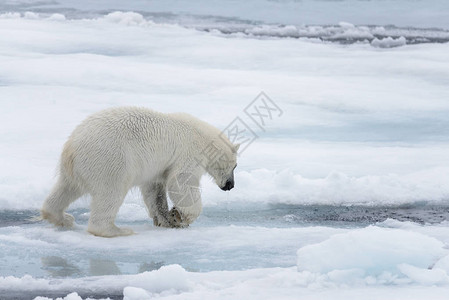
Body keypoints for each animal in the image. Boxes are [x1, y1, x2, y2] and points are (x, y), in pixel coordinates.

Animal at [41, 107, 238, 237]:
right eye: (235, 166)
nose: (231, 185)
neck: (205, 136)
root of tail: (72, 147)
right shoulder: (190, 153)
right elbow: (181, 182)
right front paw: (180, 216)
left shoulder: (157, 168)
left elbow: (154, 190)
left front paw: (167, 219)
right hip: (111, 159)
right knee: (111, 192)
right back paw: (117, 230)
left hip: (77, 169)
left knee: (66, 189)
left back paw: (62, 217)